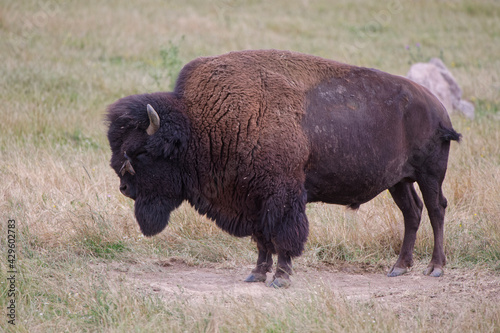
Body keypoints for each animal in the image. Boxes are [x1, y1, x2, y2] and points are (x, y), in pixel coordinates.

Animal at [107, 48, 458, 286]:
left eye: (140, 152)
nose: (124, 187)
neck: (200, 124)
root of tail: (439, 109)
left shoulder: (283, 195)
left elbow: (284, 235)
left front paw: (281, 277)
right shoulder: (251, 199)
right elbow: (262, 239)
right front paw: (256, 274)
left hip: (429, 174)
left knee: (436, 209)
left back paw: (435, 268)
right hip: (398, 181)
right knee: (412, 212)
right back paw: (399, 267)